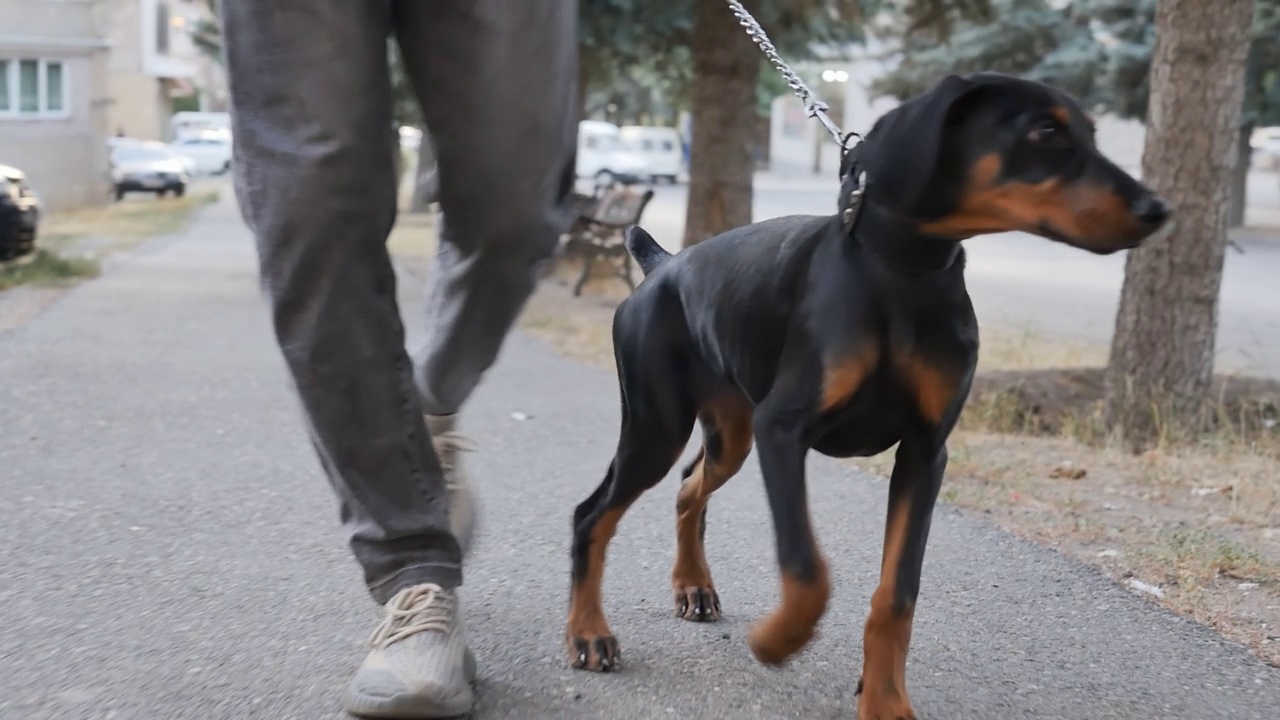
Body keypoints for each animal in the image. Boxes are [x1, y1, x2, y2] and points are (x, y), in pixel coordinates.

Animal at [560, 71, 1172, 712]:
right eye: (1044, 131)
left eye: (1092, 133)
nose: (1158, 209)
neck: (901, 273)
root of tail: (663, 267)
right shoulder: (784, 429)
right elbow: (808, 571)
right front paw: (779, 641)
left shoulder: (925, 452)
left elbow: (897, 592)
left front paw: (884, 698)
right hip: (657, 425)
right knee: (592, 515)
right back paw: (589, 634)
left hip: (730, 432)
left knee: (687, 488)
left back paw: (693, 587)